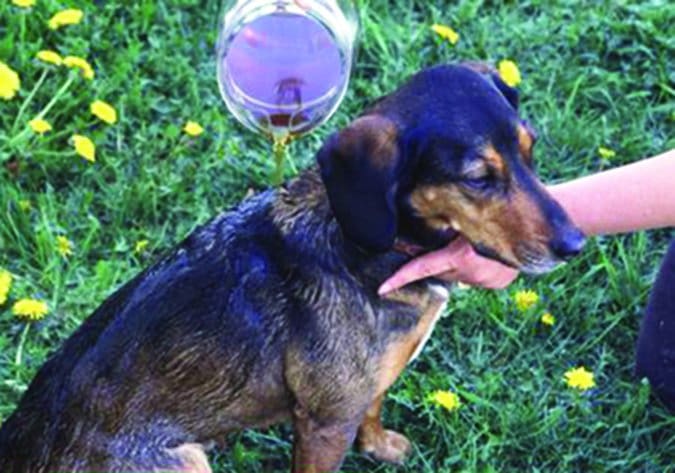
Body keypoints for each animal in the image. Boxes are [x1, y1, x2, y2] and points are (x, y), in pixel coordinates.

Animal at [0, 63, 584, 472]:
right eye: (478, 178)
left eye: (531, 151)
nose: (575, 243)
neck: (360, 243)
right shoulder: (324, 423)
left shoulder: (363, 391)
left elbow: (373, 408)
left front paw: (381, 446)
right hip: (184, 460)